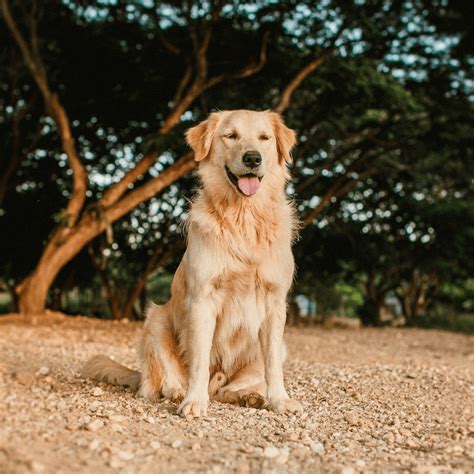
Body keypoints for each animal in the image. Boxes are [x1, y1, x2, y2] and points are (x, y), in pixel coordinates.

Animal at [83, 109, 302, 416]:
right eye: (231, 135)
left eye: (264, 138)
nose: (252, 158)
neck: (243, 216)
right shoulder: (202, 299)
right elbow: (199, 361)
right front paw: (194, 401)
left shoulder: (274, 302)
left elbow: (272, 367)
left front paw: (279, 400)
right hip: (155, 320)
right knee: (159, 385)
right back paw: (178, 393)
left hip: (280, 347)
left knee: (226, 389)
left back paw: (248, 396)